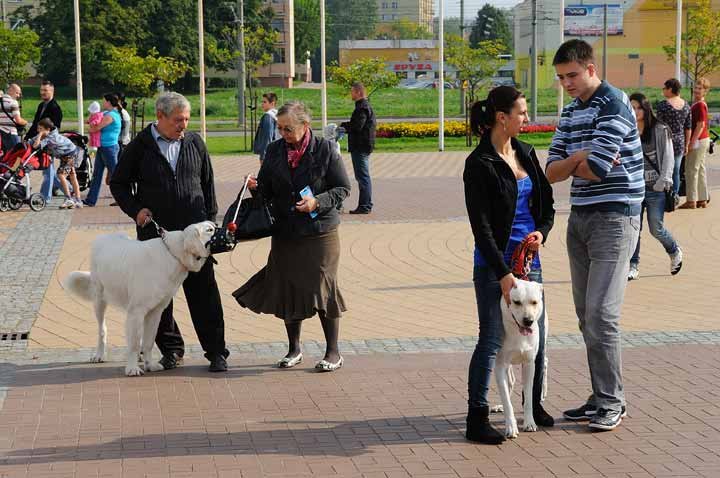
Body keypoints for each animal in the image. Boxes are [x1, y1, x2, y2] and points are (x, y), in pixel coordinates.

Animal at [63, 222, 215, 376]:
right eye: (210, 230)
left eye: (214, 226)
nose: (221, 227)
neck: (172, 253)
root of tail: (103, 237)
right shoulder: (136, 311)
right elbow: (134, 344)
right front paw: (132, 368)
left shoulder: (155, 312)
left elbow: (148, 342)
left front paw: (150, 365)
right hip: (99, 299)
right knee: (102, 329)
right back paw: (99, 355)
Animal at [496, 278, 544, 438]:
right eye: (516, 302)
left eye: (534, 302)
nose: (528, 320)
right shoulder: (500, 365)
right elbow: (506, 399)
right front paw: (511, 427)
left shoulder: (529, 364)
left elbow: (528, 397)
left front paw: (530, 423)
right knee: (509, 382)